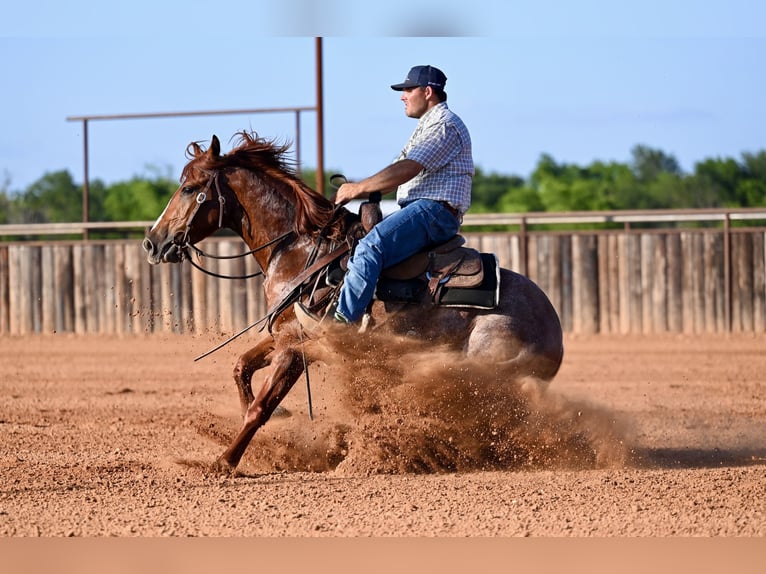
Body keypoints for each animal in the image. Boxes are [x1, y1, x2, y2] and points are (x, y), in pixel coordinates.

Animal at [142, 131, 564, 473]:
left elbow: (261, 408)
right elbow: (241, 367)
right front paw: (278, 421)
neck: (300, 250)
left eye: (189, 187)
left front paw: (224, 462)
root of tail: (553, 332)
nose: (152, 241)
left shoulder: (295, 347)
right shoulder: (282, 334)